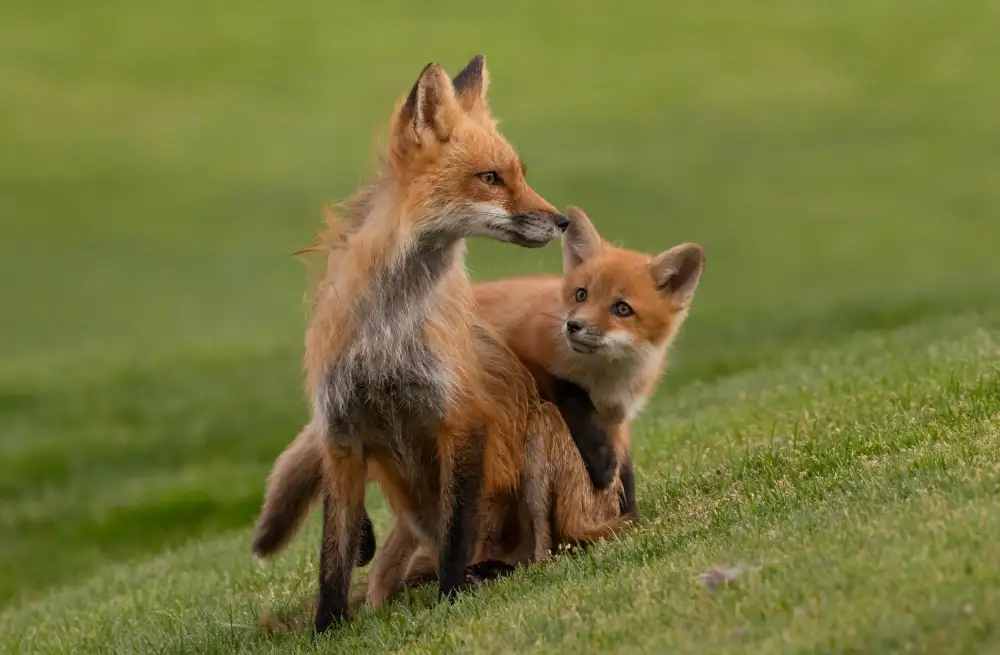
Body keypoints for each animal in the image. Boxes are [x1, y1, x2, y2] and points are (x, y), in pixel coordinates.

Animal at [259, 53, 597, 634]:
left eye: (520, 174)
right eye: (490, 178)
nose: (561, 221)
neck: (386, 334)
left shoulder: (459, 417)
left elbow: (457, 531)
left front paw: (451, 599)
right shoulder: (341, 433)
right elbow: (333, 556)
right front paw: (328, 629)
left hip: (542, 439)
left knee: (542, 549)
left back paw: (499, 572)